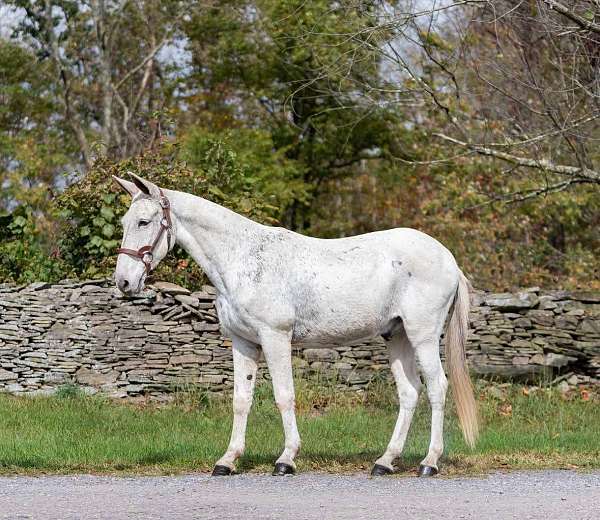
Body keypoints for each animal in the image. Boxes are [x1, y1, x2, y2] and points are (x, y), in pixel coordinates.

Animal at [111, 174, 478, 476]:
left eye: (144, 221)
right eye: (125, 221)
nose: (124, 282)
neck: (242, 258)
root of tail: (448, 258)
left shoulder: (275, 337)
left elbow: (284, 396)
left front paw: (286, 459)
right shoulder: (243, 342)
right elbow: (240, 400)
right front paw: (228, 461)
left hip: (422, 335)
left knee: (437, 387)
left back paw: (429, 462)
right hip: (396, 335)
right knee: (409, 392)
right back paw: (385, 462)